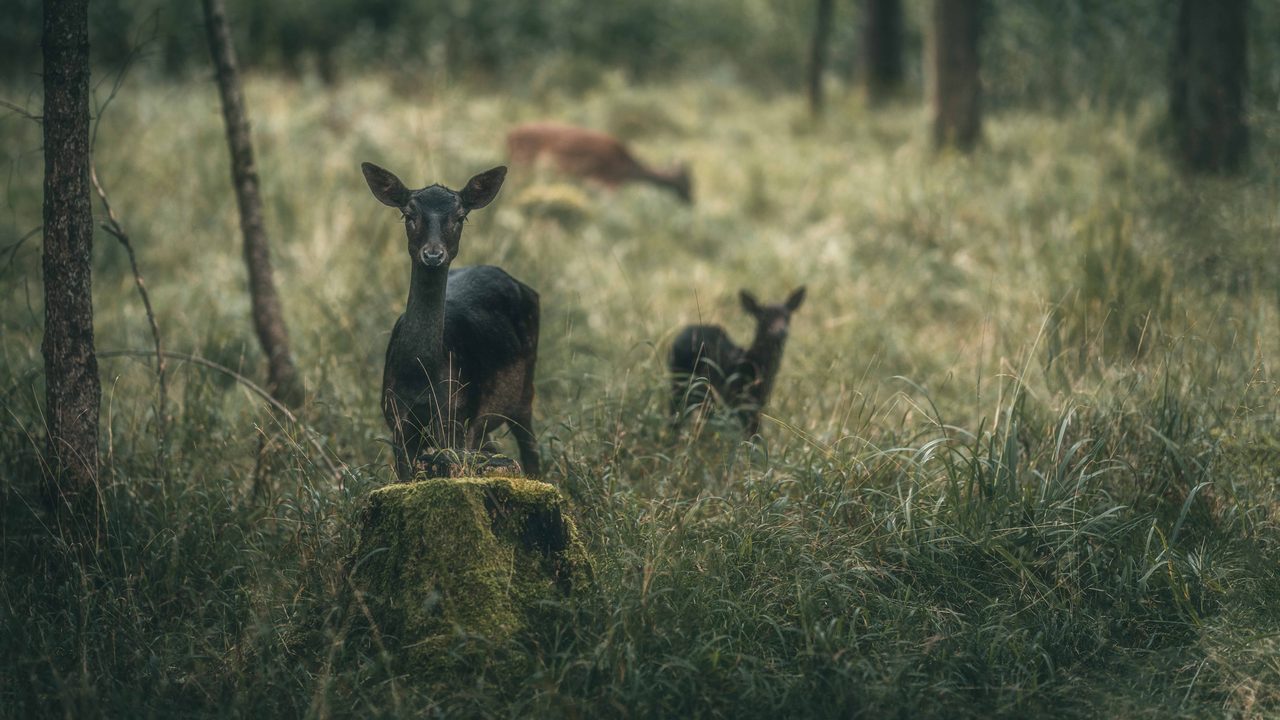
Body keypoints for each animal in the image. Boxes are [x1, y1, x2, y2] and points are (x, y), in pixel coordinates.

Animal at [362, 162, 541, 481]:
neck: (420, 377)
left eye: (460, 216)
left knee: (531, 449)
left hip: (523, 392)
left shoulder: (456, 414)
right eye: (408, 214)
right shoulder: (396, 418)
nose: (433, 254)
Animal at [506, 122, 693, 204]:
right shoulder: (606, 181)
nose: (691, 200)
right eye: (688, 181)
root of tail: (508, 136)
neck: (627, 170)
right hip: (524, 161)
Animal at [669, 287, 806, 436]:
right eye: (762, 317)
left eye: (787, 316)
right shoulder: (734, 400)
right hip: (680, 381)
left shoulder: (756, 406)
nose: (780, 331)